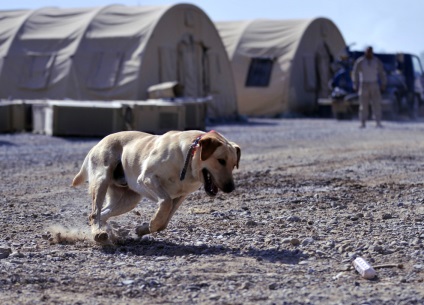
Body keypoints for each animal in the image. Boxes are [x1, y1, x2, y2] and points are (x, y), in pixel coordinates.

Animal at [71, 130, 240, 242]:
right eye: (221, 160)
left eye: (233, 164)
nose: (231, 188)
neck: (187, 156)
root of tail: (98, 143)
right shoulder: (147, 179)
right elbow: (165, 203)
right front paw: (152, 223)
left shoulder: (180, 196)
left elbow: (164, 222)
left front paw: (143, 229)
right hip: (102, 180)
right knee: (95, 213)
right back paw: (98, 234)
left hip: (128, 201)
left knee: (102, 214)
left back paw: (106, 231)